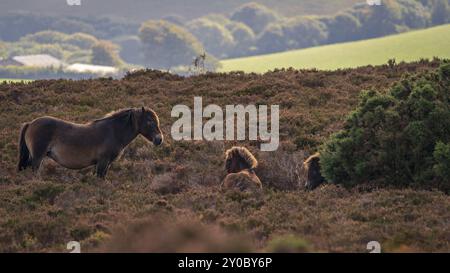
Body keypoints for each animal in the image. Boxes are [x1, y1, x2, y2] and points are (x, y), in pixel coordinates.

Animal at [17, 106, 163, 178]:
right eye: (149, 121)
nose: (159, 139)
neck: (113, 131)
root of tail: (30, 123)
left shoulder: (105, 163)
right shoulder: (103, 162)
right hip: (37, 156)